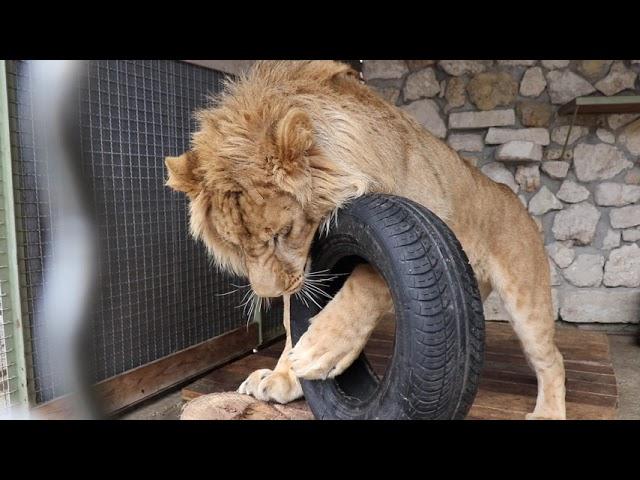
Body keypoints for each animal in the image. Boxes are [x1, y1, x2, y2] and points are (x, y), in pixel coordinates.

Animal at [165, 61, 564, 420]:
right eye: (234, 245)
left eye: (282, 233)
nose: (268, 294)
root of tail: (508, 192)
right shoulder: (302, 270)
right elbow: (292, 322)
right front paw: (283, 376)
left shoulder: (422, 228)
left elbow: (367, 282)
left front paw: (320, 349)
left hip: (526, 299)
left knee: (552, 359)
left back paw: (547, 412)